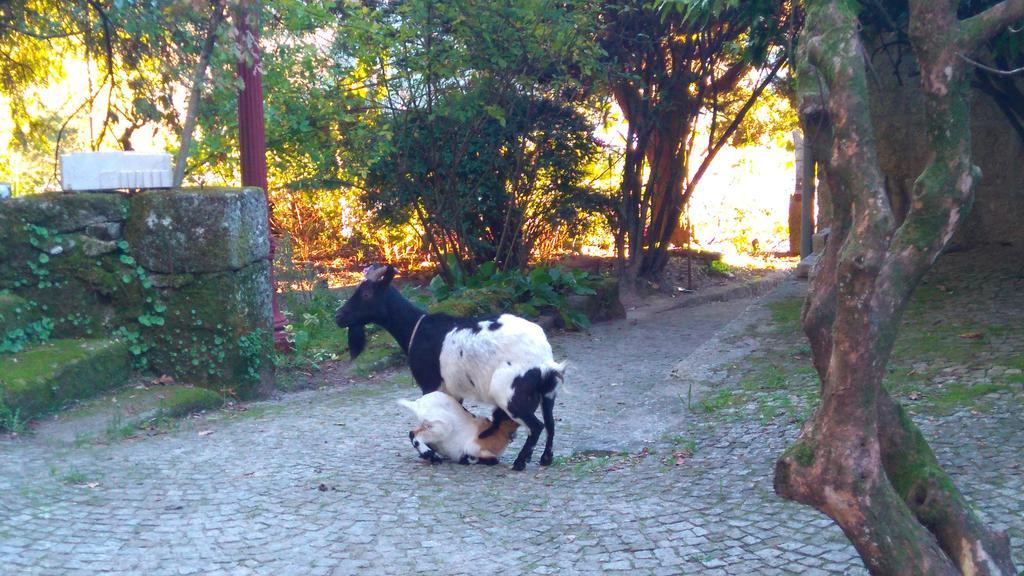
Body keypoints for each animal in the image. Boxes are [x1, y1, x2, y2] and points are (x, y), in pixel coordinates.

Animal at [335, 262, 565, 469]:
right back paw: (545, 459)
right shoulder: (453, 388)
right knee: (550, 422)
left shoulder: (431, 384)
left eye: (366, 294)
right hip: (548, 392)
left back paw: (519, 463)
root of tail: (543, 359)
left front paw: (432, 452)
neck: (417, 328)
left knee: (537, 425)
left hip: (510, 393)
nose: (338, 316)